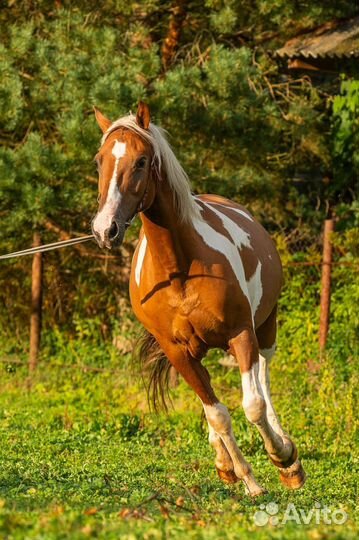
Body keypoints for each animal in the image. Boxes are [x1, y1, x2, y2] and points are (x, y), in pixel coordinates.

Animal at [90, 102, 306, 498]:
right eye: (100, 160)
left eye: (141, 161)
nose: (104, 230)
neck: (180, 270)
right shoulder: (177, 351)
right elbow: (217, 413)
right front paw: (246, 477)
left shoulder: (241, 334)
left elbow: (252, 405)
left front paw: (283, 459)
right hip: (199, 350)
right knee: (212, 403)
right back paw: (225, 462)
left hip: (266, 325)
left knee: (264, 379)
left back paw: (284, 452)